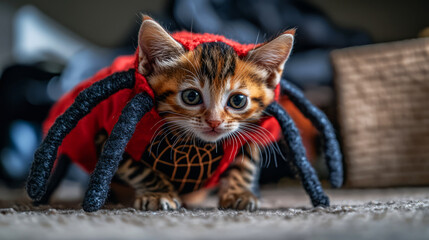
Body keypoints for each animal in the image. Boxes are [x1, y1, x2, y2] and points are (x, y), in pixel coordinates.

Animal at [104, 17, 292, 211]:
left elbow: (245, 163)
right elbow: (137, 169)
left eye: (238, 100)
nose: (214, 121)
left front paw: (239, 192)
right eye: (191, 96)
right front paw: (159, 194)